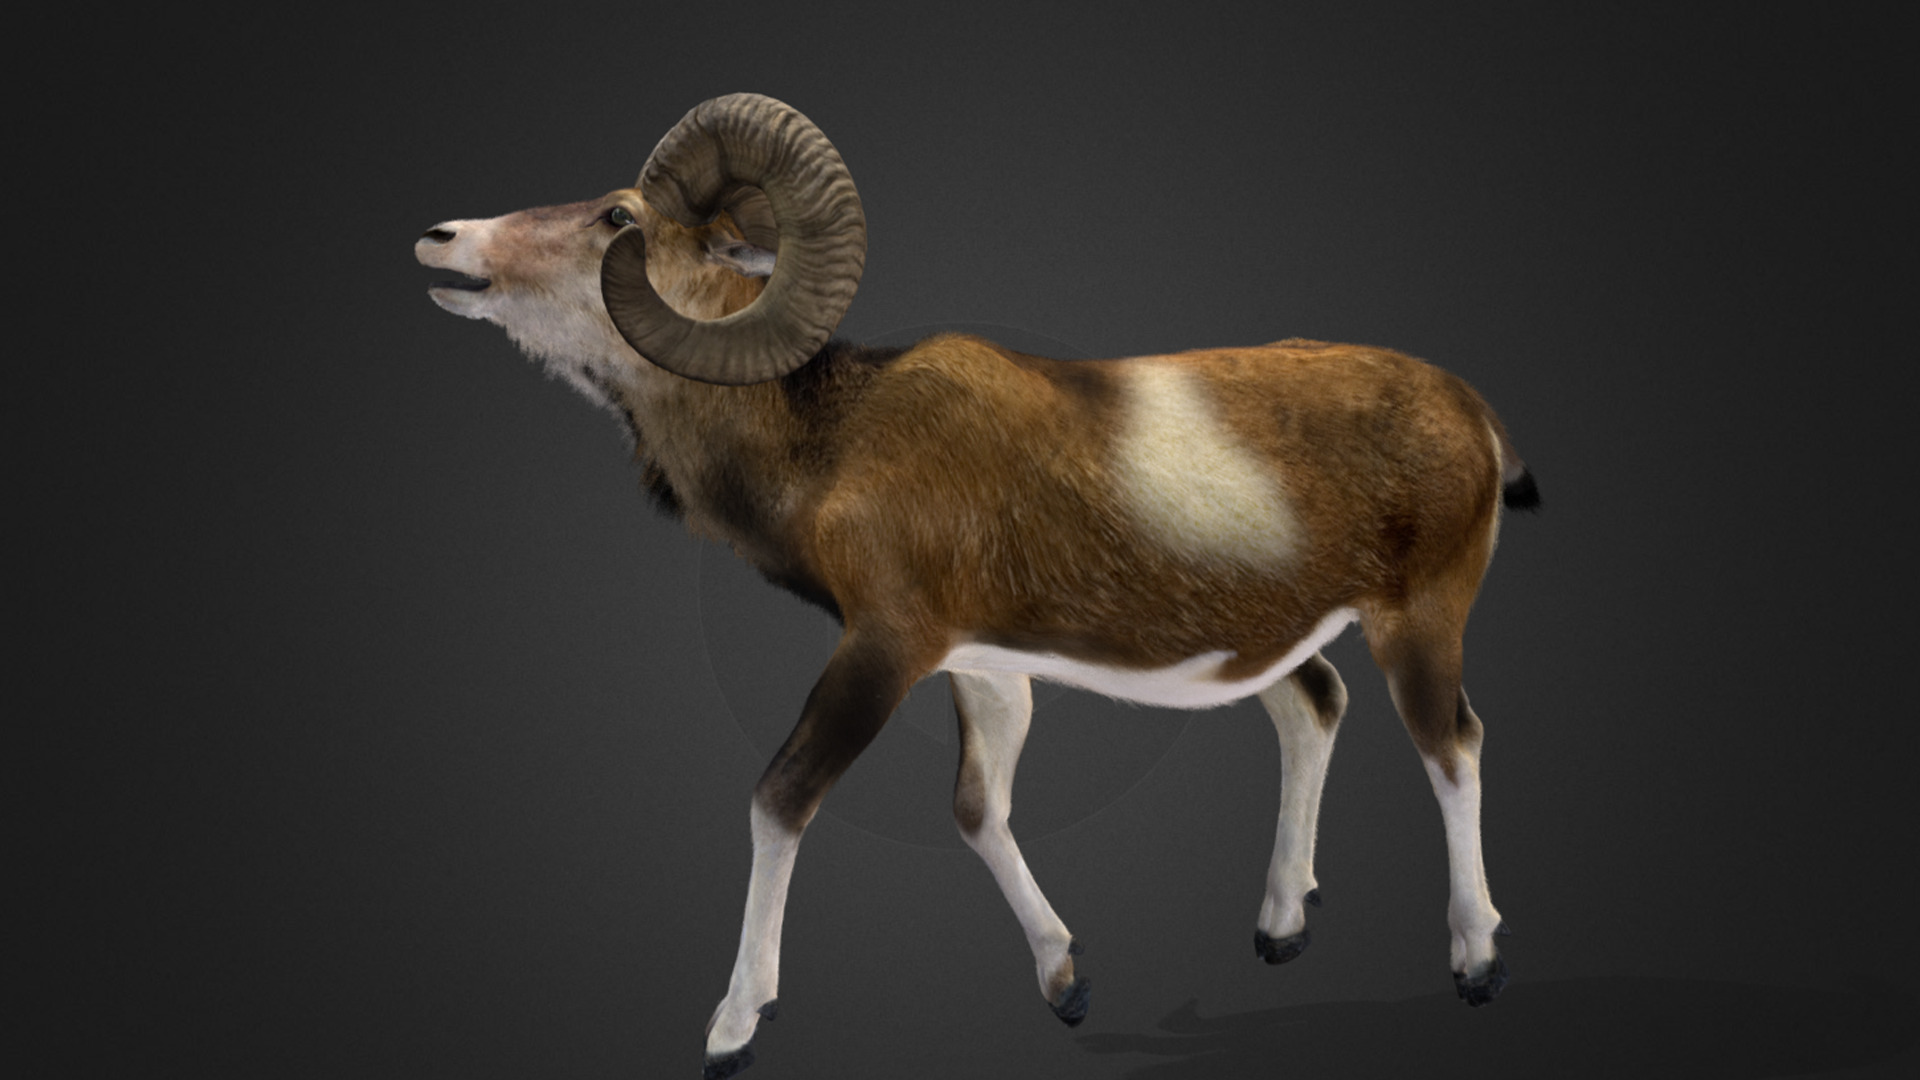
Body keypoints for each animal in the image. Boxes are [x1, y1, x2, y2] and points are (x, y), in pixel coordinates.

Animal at [416, 93, 1538, 1079]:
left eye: (618, 217)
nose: (440, 239)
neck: (838, 441)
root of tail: (1473, 415)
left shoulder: (884, 650)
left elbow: (782, 798)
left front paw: (734, 1029)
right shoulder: (985, 672)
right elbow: (976, 810)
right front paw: (1065, 982)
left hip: (1420, 625)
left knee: (1454, 746)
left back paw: (1477, 960)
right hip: (1278, 645)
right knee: (1316, 710)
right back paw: (1279, 929)